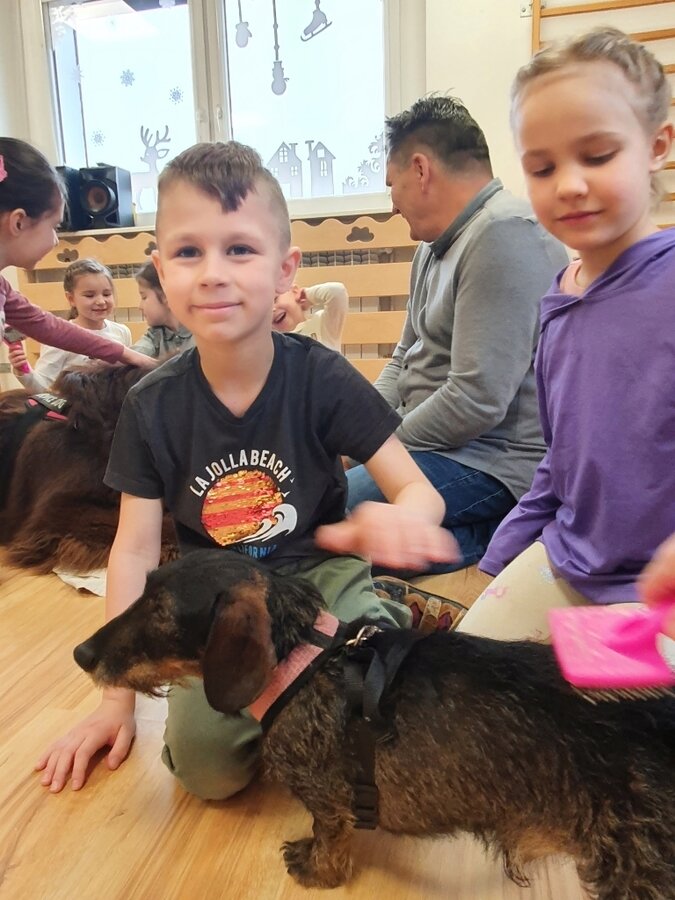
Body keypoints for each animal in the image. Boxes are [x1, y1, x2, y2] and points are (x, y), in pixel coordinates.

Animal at [73, 549, 675, 899]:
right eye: (143, 589)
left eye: (162, 613)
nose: (82, 654)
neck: (307, 660)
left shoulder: (329, 796)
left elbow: (329, 836)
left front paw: (317, 869)